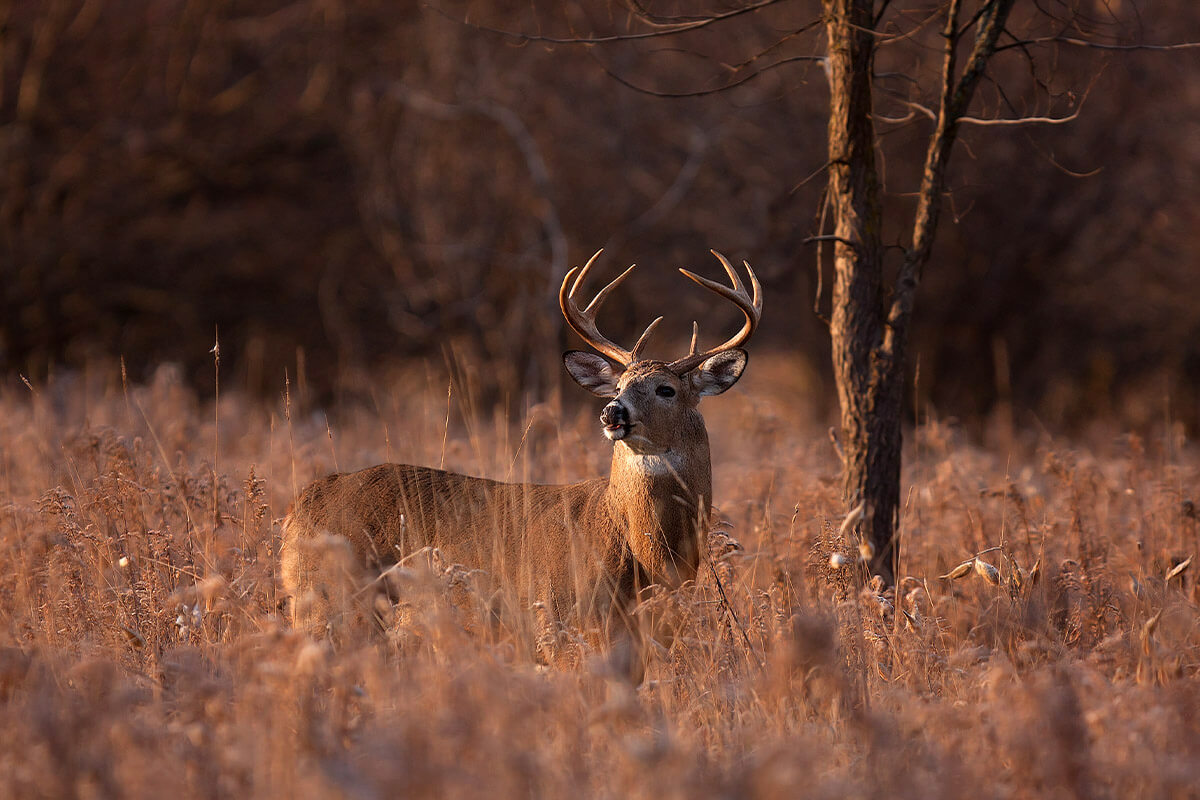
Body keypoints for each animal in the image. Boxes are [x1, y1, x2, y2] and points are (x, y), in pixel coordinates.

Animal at [278, 251, 758, 681]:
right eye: (619, 384)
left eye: (666, 389)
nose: (612, 412)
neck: (643, 554)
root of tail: (301, 505)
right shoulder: (559, 625)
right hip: (330, 601)